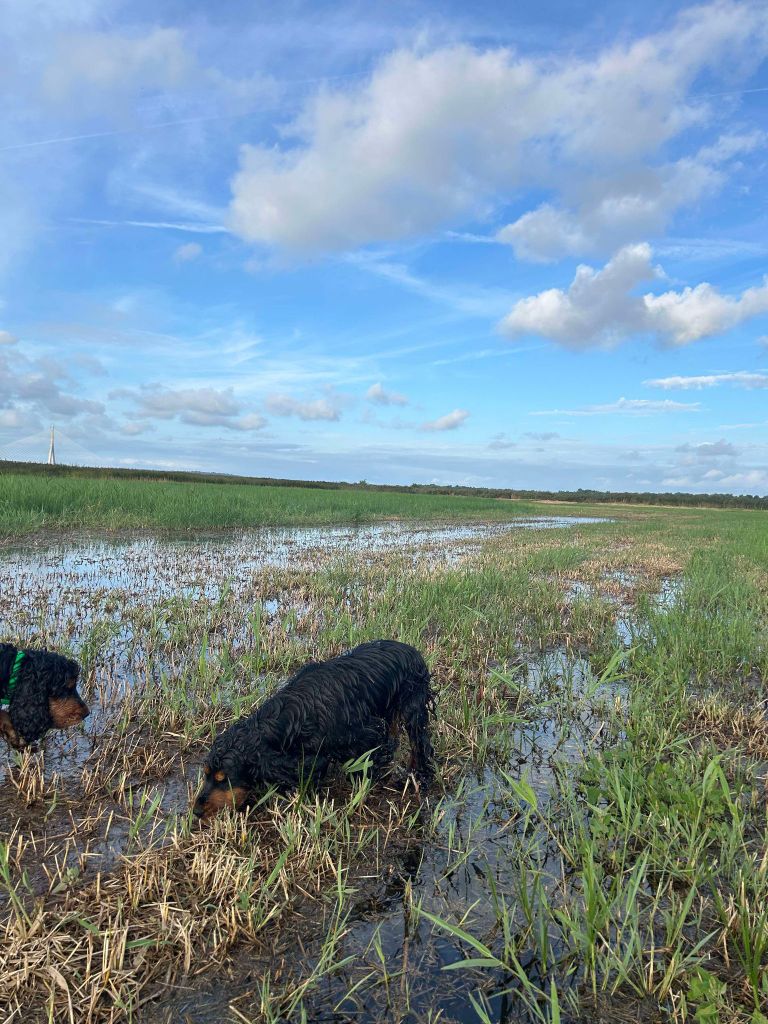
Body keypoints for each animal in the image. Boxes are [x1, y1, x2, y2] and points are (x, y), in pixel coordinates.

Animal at [192, 634, 436, 819]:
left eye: (224, 779)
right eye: (206, 775)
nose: (196, 811)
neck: (294, 719)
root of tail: (412, 649)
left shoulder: (368, 733)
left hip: (413, 706)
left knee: (420, 744)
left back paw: (419, 775)